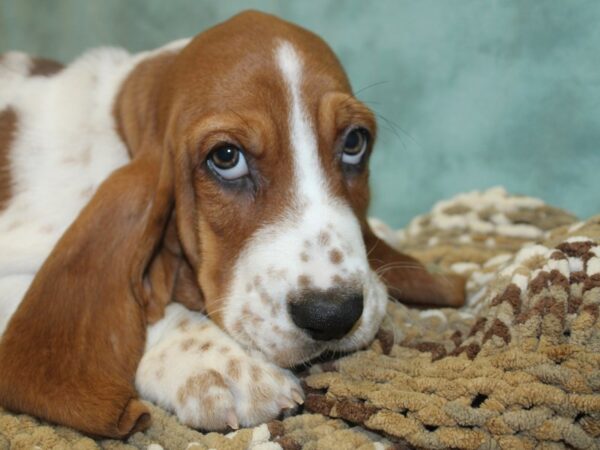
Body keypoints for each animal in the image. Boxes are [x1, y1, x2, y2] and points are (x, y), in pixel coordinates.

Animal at [0, 10, 464, 440]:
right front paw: (220, 364)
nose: (332, 315)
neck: (117, 127)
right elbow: (148, 308)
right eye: (226, 157)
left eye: (354, 143)